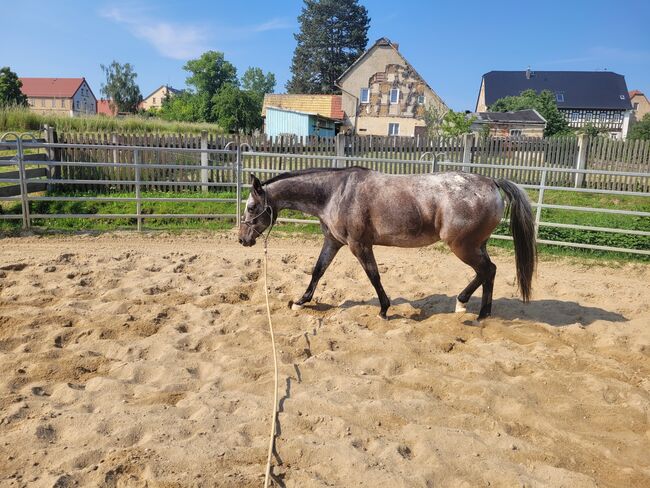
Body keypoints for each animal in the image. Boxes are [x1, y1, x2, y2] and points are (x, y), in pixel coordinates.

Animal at [235, 166, 536, 322]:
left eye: (251, 207)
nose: (242, 239)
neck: (335, 193)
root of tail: (491, 182)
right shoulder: (333, 242)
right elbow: (318, 270)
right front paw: (300, 301)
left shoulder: (359, 245)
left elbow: (374, 276)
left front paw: (383, 309)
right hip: (476, 245)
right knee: (488, 272)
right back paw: (473, 308)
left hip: (463, 246)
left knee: (487, 270)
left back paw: (475, 311)